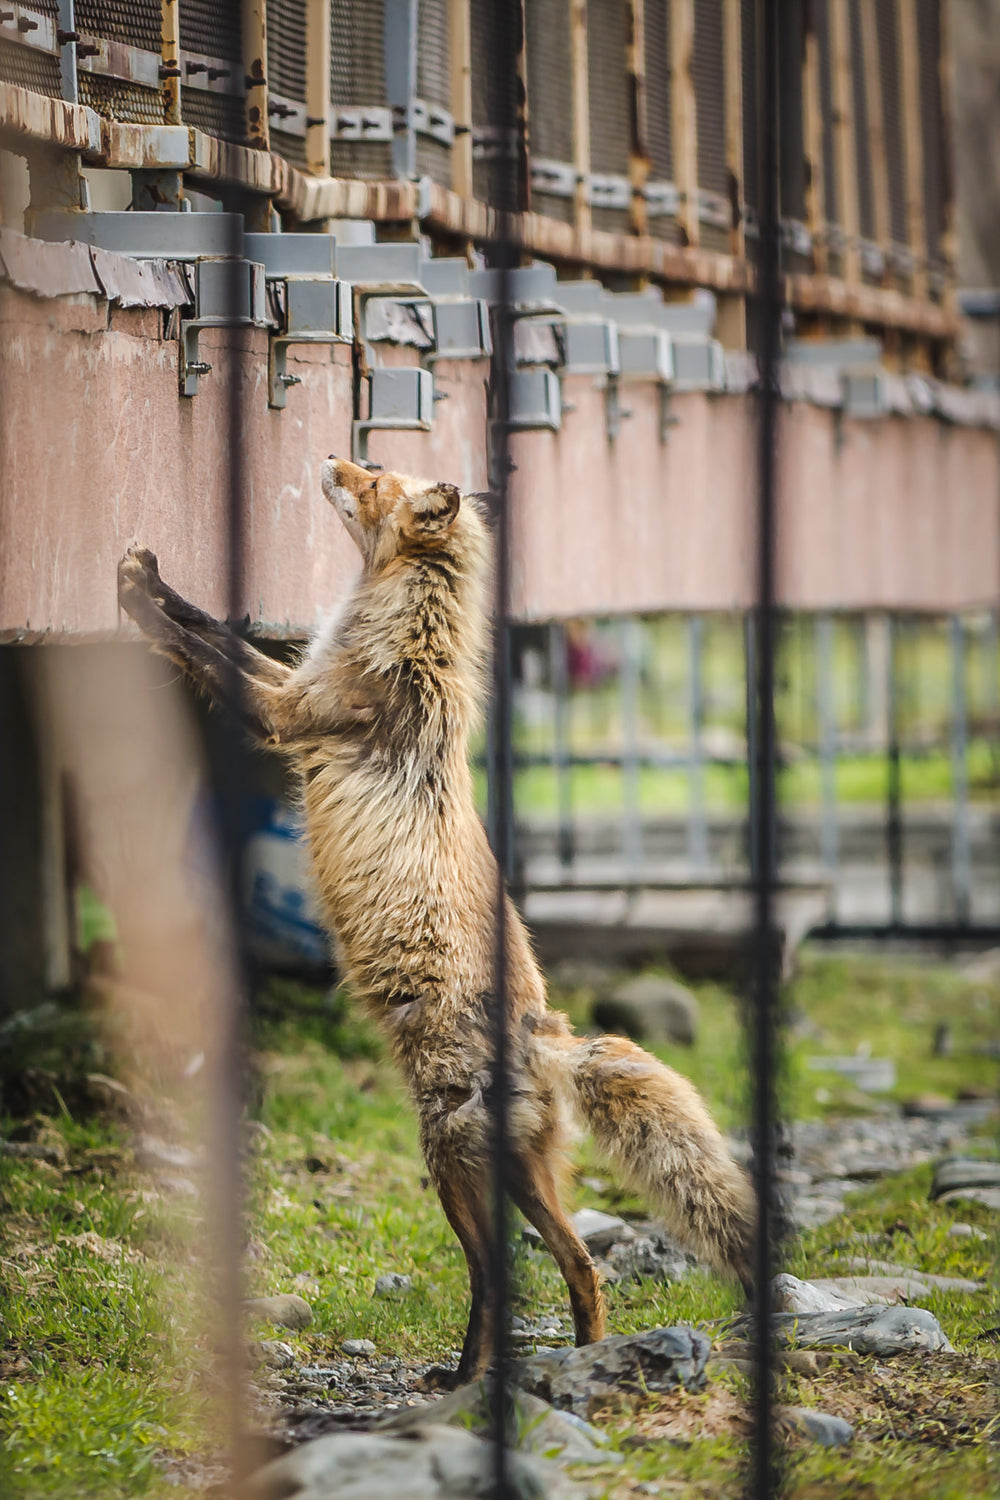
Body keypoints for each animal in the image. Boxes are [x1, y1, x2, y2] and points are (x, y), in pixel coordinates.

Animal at [117, 456, 755, 1389]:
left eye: (375, 478)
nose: (330, 455)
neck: (411, 637)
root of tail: (547, 1035)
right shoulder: (294, 687)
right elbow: (216, 634)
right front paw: (157, 582)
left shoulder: (287, 714)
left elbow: (194, 646)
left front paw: (138, 593)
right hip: (519, 1174)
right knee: (579, 1265)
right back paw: (584, 1362)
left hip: (450, 1161)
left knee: (496, 1275)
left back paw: (468, 1378)